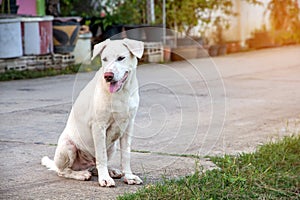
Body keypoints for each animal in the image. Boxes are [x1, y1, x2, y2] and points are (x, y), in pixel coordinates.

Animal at [42, 38, 144, 187]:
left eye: (121, 58)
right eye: (104, 59)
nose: (108, 76)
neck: (122, 93)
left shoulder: (128, 125)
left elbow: (126, 155)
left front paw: (129, 176)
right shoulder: (98, 126)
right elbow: (101, 156)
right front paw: (105, 179)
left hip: (112, 147)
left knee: (96, 164)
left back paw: (110, 170)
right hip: (68, 146)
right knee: (64, 171)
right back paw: (81, 174)